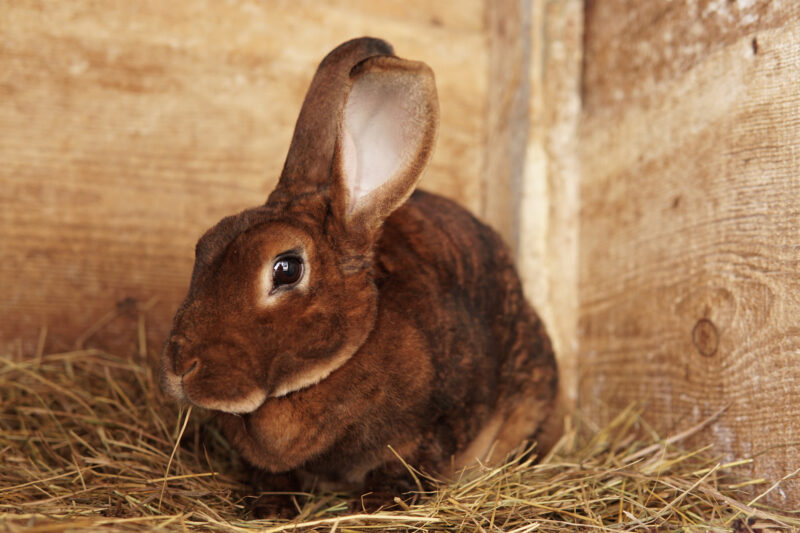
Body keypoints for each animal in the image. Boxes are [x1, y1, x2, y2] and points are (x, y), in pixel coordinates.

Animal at [160, 37, 559, 512]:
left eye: (286, 268)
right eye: (203, 246)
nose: (181, 367)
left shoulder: (430, 430)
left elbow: (404, 467)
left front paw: (377, 506)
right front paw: (270, 506)